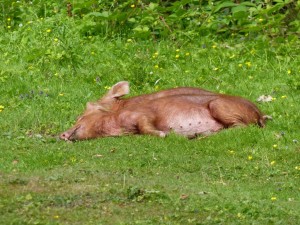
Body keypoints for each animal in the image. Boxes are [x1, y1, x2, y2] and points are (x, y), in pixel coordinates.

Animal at [59, 81, 268, 141]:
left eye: (81, 114)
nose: (61, 134)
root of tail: (259, 114)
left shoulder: (142, 115)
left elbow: (147, 127)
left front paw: (163, 134)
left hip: (219, 106)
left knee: (241, 127)